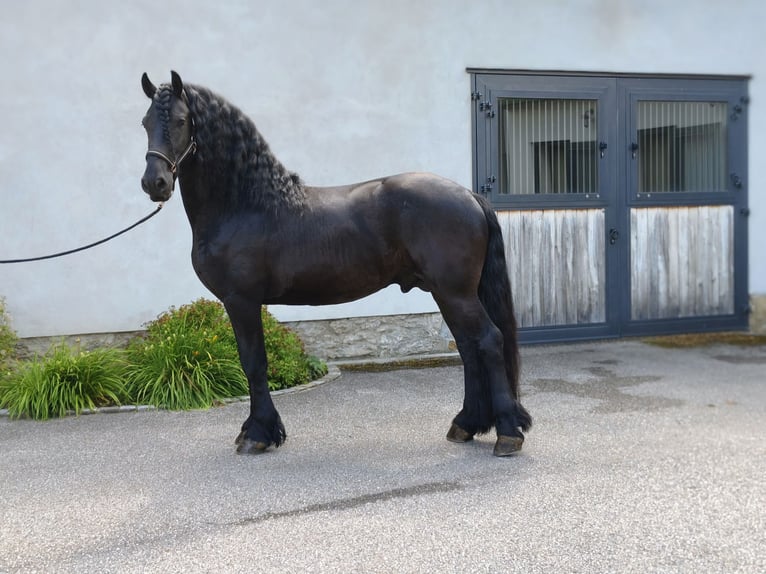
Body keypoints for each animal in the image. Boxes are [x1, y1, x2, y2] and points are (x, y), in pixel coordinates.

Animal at [141, 72, 532, 460]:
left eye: (180, 121)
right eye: (145, 122)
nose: (154, 183)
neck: (246, 205)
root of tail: (469, 196)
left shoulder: (242, 301)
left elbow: (253, 363)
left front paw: (258, 434)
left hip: (456, 293)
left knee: (489, 341)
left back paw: (507, 434)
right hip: (447, 293)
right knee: (468, 347)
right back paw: (466, 424)